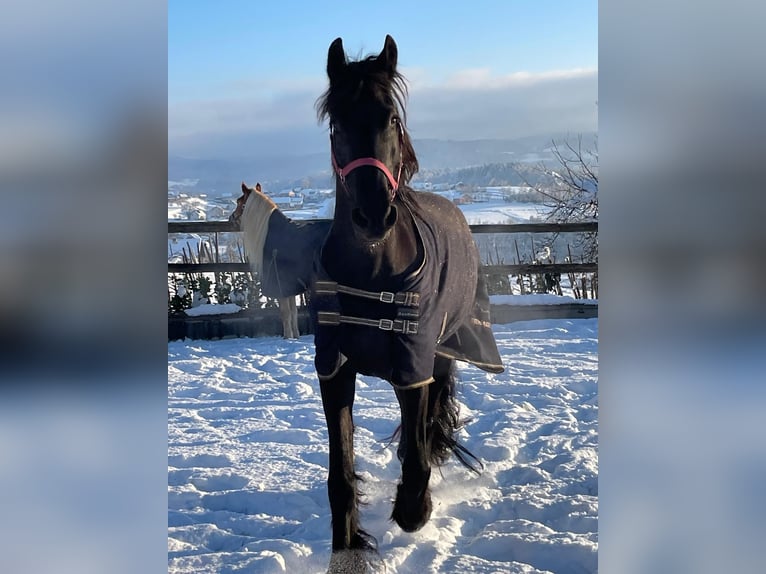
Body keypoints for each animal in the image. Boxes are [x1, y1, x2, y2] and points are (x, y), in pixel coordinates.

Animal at [229, 182, 331, 339]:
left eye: (240, 202)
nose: (231, 218)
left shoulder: (280, 285)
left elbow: (285, 313)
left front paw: (287, 337)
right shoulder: (290, 287)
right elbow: (293, 312)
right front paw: (295, 336)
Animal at [311, 35, 504, 570]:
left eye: (391, 119)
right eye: (337, 123)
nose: (374, 215)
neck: (371, 275)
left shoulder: (413, 364)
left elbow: (418, 458)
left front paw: (414, 509)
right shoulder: (335, 368)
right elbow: (339, 473)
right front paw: (349, 547)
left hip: (443, 350)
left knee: (428, 425)